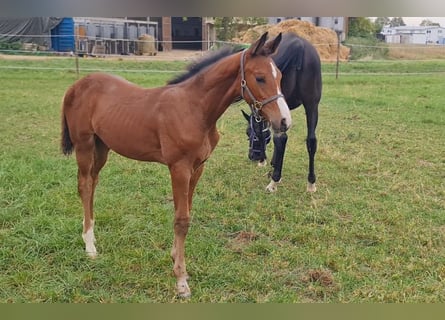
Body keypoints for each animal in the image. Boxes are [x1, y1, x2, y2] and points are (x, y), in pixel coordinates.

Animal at [60, 32, 290, 298]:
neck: (195, 108)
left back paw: (91, 236)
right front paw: (181, 280)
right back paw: (89, 246)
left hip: (102, 147)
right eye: (260, 77)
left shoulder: (198, 167)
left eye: (280, 76)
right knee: (85, 185)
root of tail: (76, 85)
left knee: (92, 184)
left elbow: (187, 213)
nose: (284, 121)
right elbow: (181, 220)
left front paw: (176, 262)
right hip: (84, 145)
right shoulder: (179, 167)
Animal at [243, 32, 320, 192]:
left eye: (248, 133)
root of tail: (299, 45)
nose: (252, 156)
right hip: (312, 105)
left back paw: (274, 181)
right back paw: (311, 183)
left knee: (281, 139)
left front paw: (264, 161)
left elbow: (262, 133)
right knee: (311, 140)